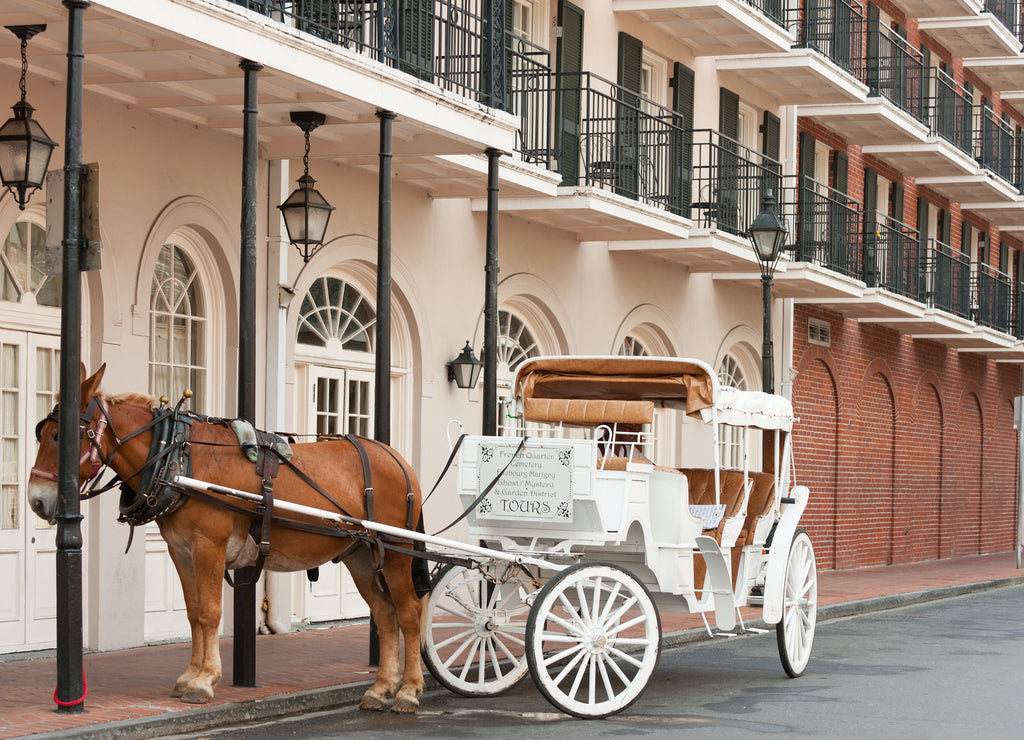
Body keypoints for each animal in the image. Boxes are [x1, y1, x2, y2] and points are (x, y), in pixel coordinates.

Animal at [28, 364, 425, 712]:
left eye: (61, 436)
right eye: (40, 433)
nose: (36, 500)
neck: (179, 457)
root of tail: (398, 459)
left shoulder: (208, 546)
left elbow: (209, 612)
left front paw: (205, 680)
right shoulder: (181, 551)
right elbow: (192, 612)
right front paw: (190, 675)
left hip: (396, 553)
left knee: (408, 614)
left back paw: (408, 690)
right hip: (361, 556)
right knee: (384, 615)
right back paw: (380, 688)